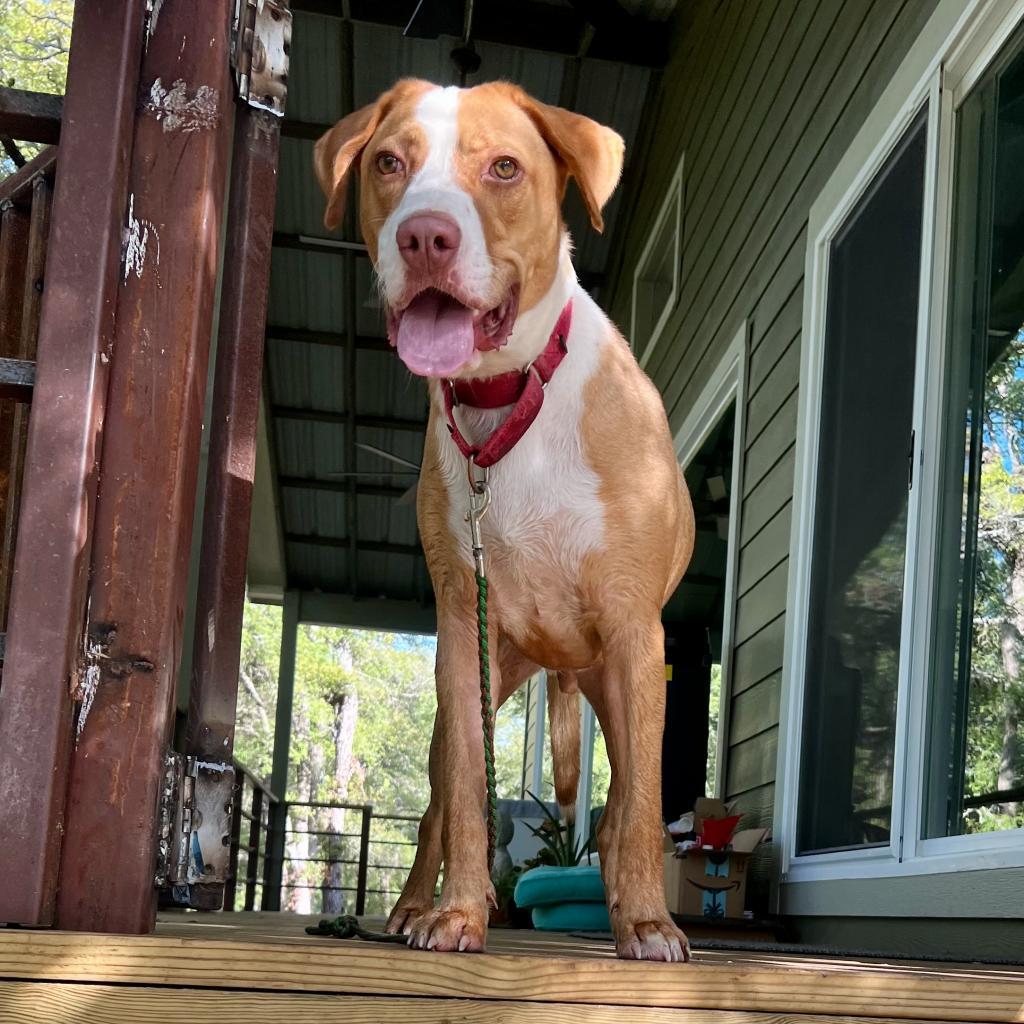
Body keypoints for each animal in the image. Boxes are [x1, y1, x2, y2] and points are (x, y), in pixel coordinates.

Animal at [313, 77, 696, 958]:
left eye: (504, 169)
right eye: (390, 163)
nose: (425, 236)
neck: (511, 394)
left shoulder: (637, 634)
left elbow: (641, 809)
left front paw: (646, 923)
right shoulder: (461, 630)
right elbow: (463, 797)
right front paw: (457, 914)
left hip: (605, 683)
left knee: (617, 808)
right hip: (480, 684)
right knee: (435, 806)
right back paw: (411, 907)